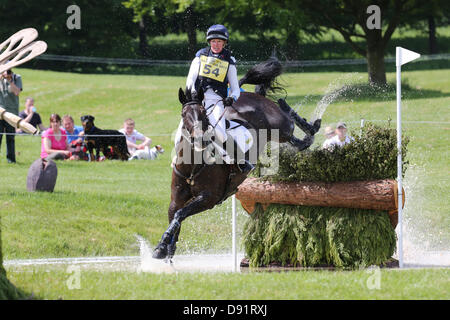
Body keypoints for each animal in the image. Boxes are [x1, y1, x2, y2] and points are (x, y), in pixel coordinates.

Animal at [154, 58, 320, 260]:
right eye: (183, 115)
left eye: (203, 114)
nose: (201, 139)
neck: (192, 167)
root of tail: (249, 95)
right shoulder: (176, 198)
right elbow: (175, 215)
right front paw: (164, 247)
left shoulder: (209, 198)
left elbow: (180, 214)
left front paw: (164, 246)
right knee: (298, 140)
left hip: (280, 127)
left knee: (292, 122)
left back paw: (307, 122)